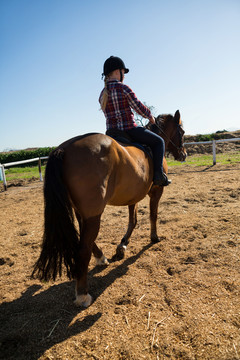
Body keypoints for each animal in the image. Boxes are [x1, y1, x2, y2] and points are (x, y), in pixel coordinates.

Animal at [32, 109, 186, 306]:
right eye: (181, 132)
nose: (184, 154)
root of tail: (64, 149)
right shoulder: (156, 192)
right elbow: (153, 215)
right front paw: (154, 237)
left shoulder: (132, 196)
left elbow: (133, 220)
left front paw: (123, 245)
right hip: (94, 214)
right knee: (83, 249)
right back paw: (83, 295)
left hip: (83, 212)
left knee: (86, 239)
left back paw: (101, 257)